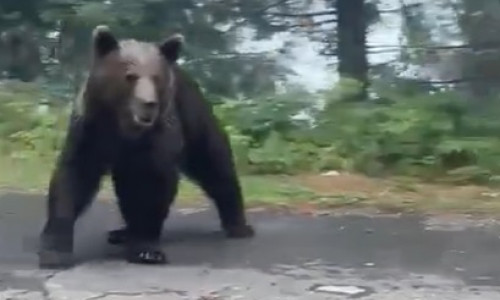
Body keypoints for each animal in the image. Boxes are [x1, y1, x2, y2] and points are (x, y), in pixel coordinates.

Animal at [38, 25, 256, 270]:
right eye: (130, 76)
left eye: (156, 77)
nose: (149, 104)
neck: (124, 127)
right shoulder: (90, 129)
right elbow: (73, 178)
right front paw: (54, 252)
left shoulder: (157, 137)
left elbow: (153, 185)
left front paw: (146, 249)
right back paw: (121, 232)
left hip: (193, 117)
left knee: (214, 165)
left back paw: (239, 225)